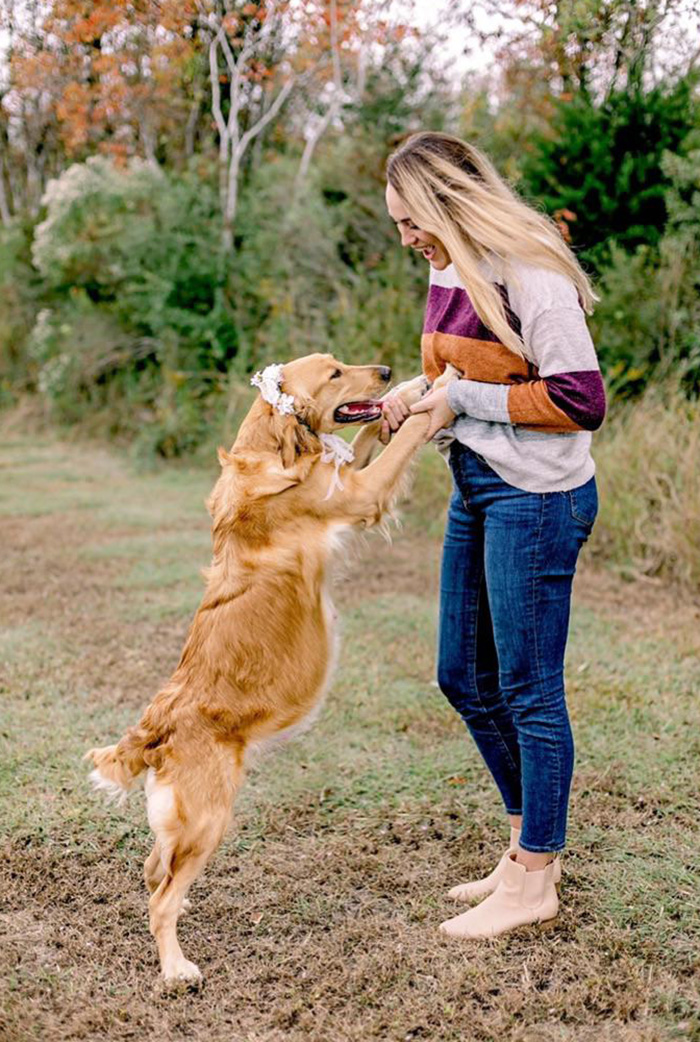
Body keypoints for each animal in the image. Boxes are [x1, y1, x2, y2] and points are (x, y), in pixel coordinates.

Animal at [87, 354, 452, 979]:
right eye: (334, 375)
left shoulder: (347, 476)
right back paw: (176, 969)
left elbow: (370, 436)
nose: (384, 368)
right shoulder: (357, 493)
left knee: (153, 869)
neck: (273, 451)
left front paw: (412, 388)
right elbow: (405, 437)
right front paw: (444, 388)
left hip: (182, 823)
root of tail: (155, 729)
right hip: (209, 819)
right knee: (162, 898)